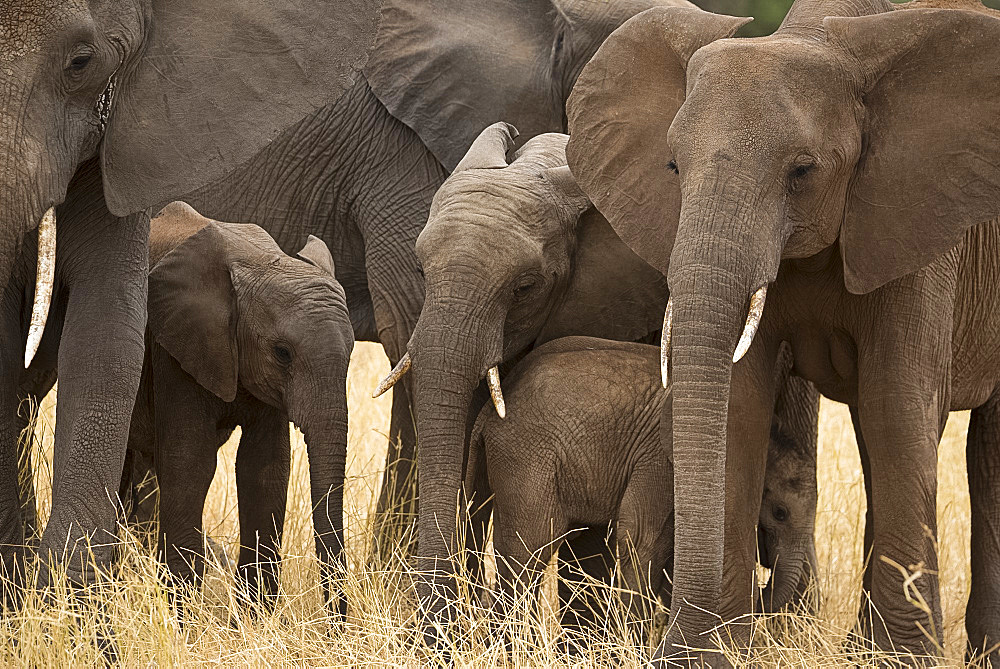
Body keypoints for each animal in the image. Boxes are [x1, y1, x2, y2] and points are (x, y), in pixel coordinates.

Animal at [118, 204, 352, 616]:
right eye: (282, 353)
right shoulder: (174, 350)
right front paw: (185, 620)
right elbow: (189, 463)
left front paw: (257, 617)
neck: (259, 263)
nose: (337, 624)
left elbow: (265, 467)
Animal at [468, 336, 820, 640]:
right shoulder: (661, 460)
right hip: (526, 457)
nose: (760, 590)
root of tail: (489, 410)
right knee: (530, 547)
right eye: (780, 512)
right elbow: (640, 539)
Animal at [568, 0, 1000, 664]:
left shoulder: (920, 231)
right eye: (673, 167)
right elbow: (740, 406)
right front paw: (714, 651)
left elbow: (897, 408)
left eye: (802, 170)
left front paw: (903, 659)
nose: (672, 643)